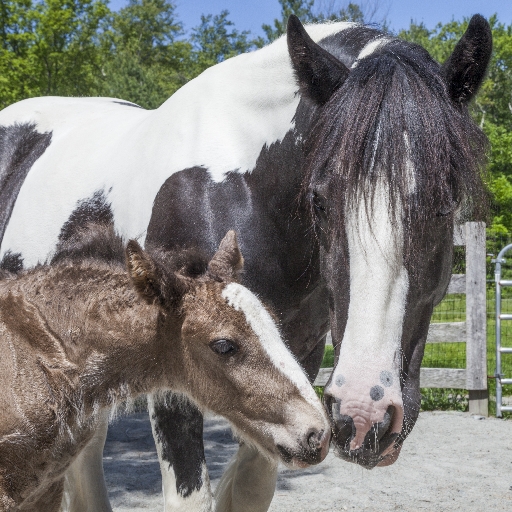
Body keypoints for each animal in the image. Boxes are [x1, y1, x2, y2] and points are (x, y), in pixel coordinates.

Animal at [0, 14, 492, 510]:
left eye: (445, 205)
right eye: (318, 201)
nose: (363, 414)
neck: (240, 194)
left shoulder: (294, 363)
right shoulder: (173, 368)